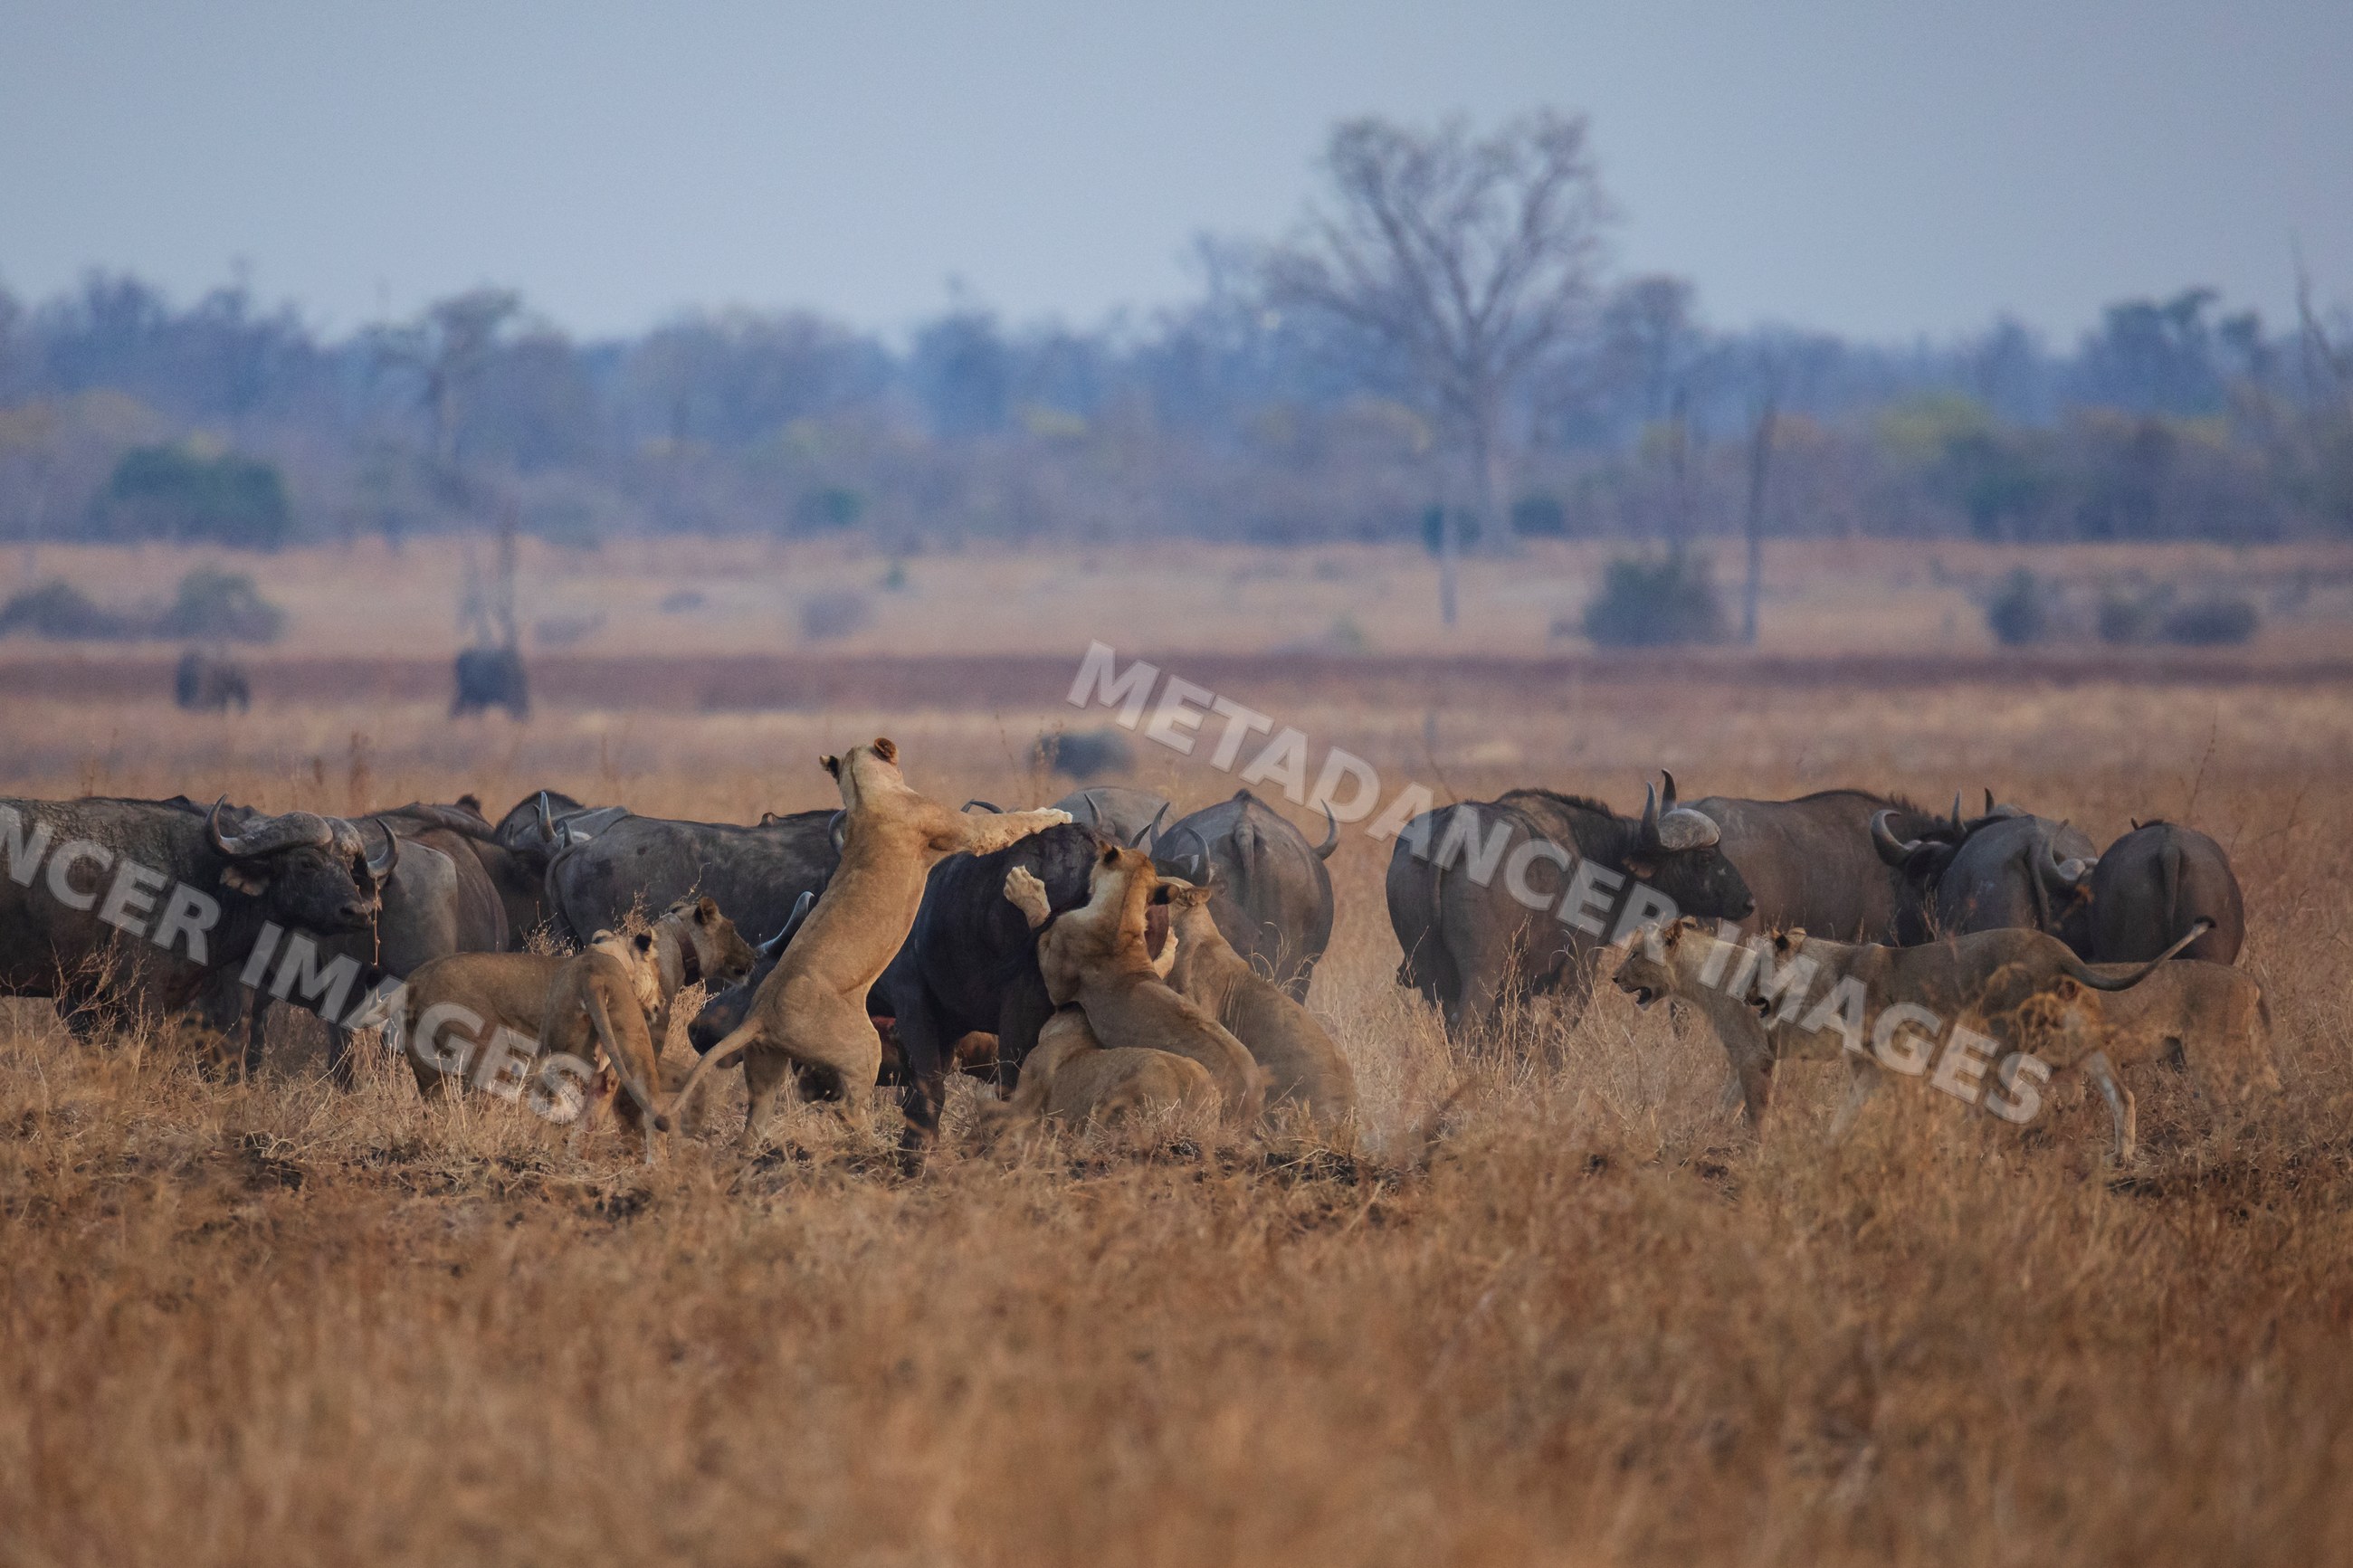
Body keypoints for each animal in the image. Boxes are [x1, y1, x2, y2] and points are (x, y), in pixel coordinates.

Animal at [668, 739, 1070, 1146]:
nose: (699, 1030)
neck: (866, 794)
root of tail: (760, 1015)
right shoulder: (967, 830)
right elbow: (1011, 824)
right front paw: (1056, 814)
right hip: (863, 1047)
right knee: (846, 1107)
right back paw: (876, 1145)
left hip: (767, 1067)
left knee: (753, 1125)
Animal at [1003, 844, 1265, 1124]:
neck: (1121, 913)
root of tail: (1251, 1101)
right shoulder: (1146, 967)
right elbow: (1161, 964)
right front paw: (1171, 942)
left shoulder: (1057, 981)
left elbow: (1041, 918)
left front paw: (1023, 886)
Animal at [1612, 916, 2211, 1162]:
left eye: (1636, 954)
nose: (1614, 978)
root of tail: (2061, 949)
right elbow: (1731, 1104)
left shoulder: (1758, 1054)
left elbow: (1755, 1110)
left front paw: (1758, 1151)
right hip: (2074, 1037)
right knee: (2121, 1092)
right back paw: (2122, 1153)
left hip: (2001, 1035)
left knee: (1996, 1101)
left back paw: (1972, 1147)